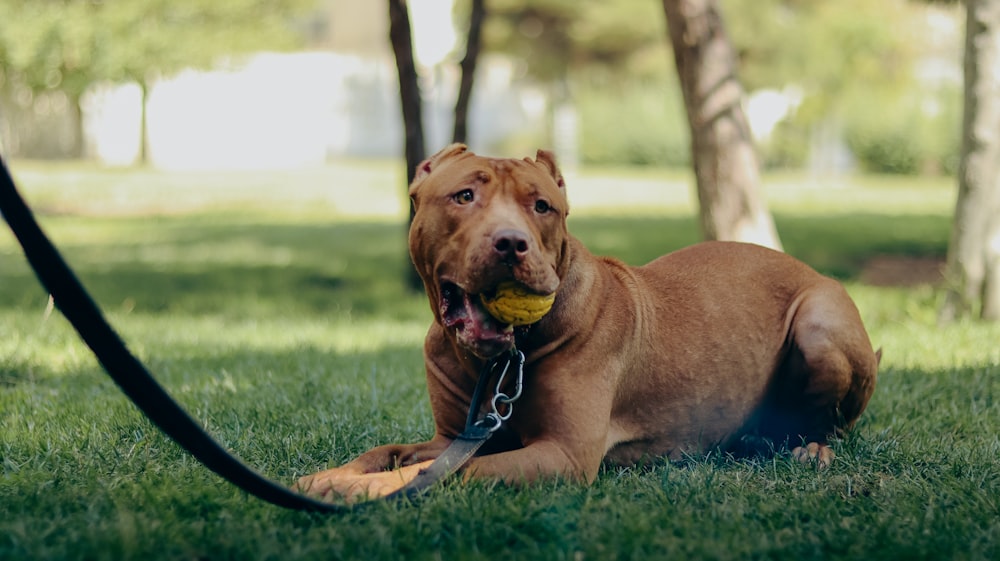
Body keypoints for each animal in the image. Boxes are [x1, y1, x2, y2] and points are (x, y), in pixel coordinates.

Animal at [294, 143, 876, 498]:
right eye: (464, 195)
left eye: (542, 206)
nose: (511, 243)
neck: (501, 361)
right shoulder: (449, 438)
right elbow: (388, 452)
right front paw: (333, 475)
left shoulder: (562, 455)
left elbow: (435, 473)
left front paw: (353, 491)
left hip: (821, 325)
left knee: (834, 421)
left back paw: (811, 448)